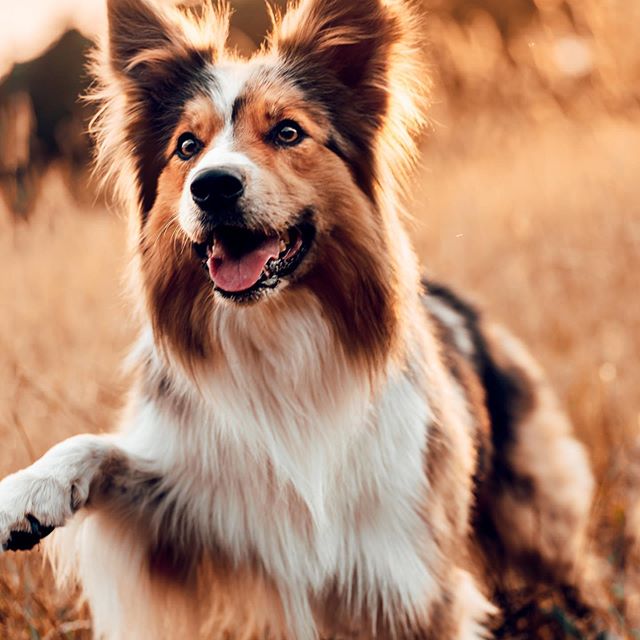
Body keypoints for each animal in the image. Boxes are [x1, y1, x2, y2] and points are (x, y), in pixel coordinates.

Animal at [0, 2, 596, 636]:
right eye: (187, 146)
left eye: (287, 132)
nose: (211, 186)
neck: (278, 327)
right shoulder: (194, 527)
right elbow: (99, 448)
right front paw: (28, 493)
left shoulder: (411, 580)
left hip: (535, 519)